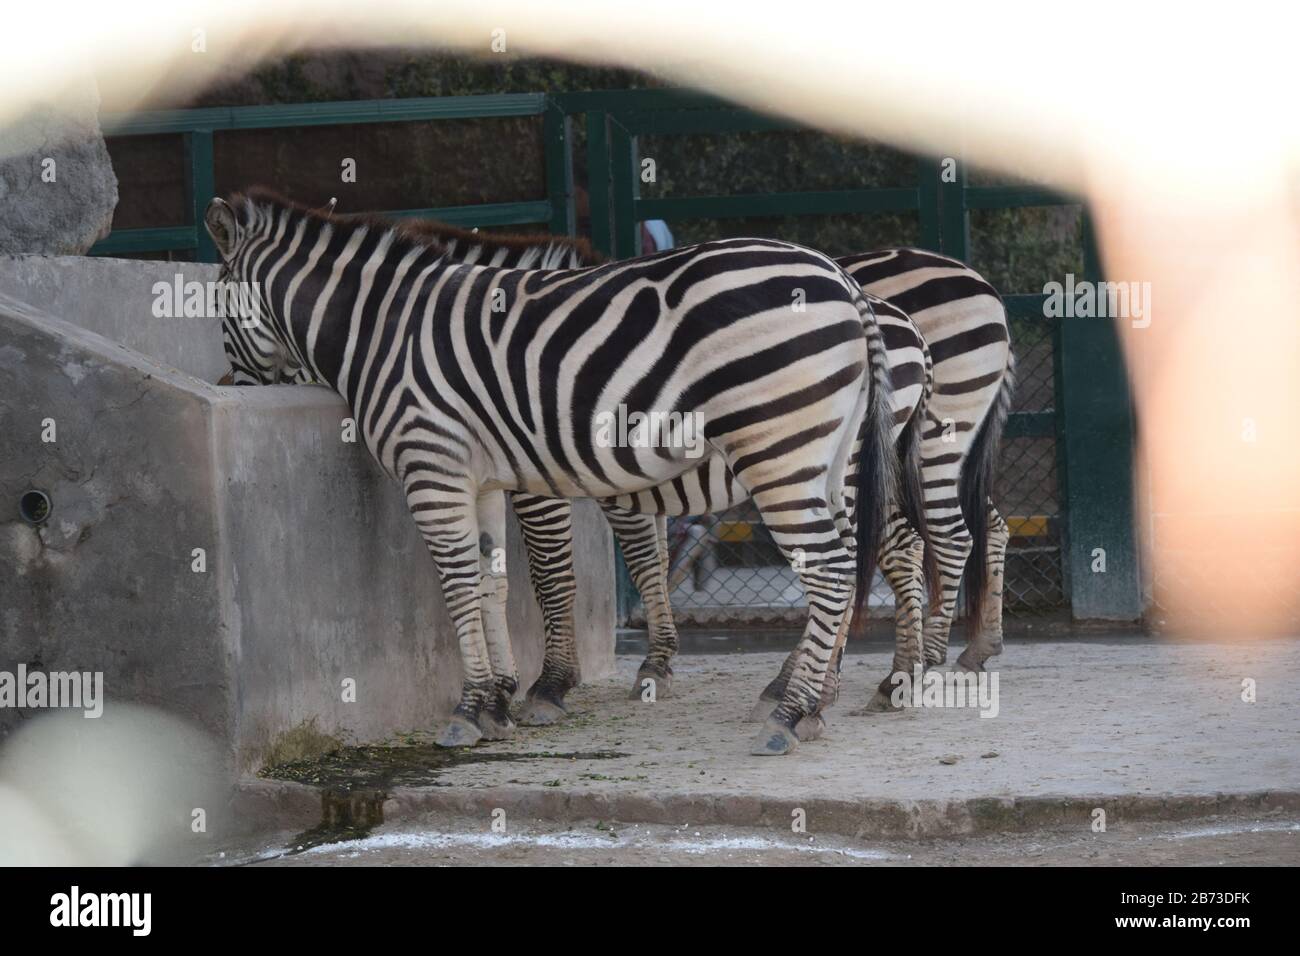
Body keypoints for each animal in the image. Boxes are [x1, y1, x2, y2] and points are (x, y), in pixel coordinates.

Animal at [204, 188, 899, 756]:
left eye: (217, 316)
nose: (227, 387)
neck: (381, 333)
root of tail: (845, 280)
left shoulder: (435, 467)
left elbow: (481, 581)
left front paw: (480, 706)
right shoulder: (482, 477)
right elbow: (493, 581)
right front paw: (496, 702)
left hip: (779, 449)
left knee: (833, 570)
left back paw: (791, 714)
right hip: (828, 459)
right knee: (846, 562)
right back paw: (814, 704)